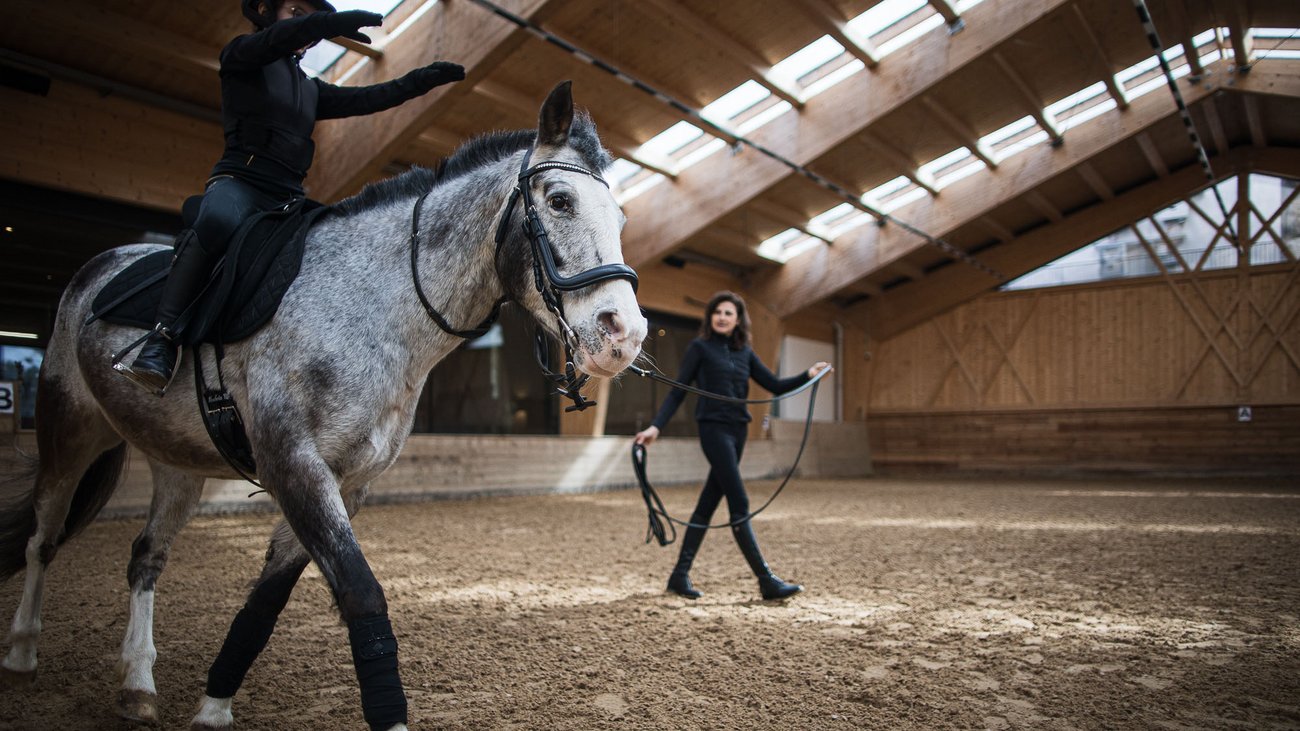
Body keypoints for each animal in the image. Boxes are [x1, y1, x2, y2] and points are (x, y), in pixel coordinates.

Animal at [0, 81, 647, 731]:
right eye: (560, 201)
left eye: (622, 218)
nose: (626, 334)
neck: (368, 308)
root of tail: (100, 267)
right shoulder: (296, 466)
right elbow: (361, 593)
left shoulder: (344, 481)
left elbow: (267, 601)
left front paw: (213, 705)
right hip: (68, 429)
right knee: (43, 539)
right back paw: (23, 653)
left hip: (175, 464)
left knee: (145, 557)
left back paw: (137, 683)